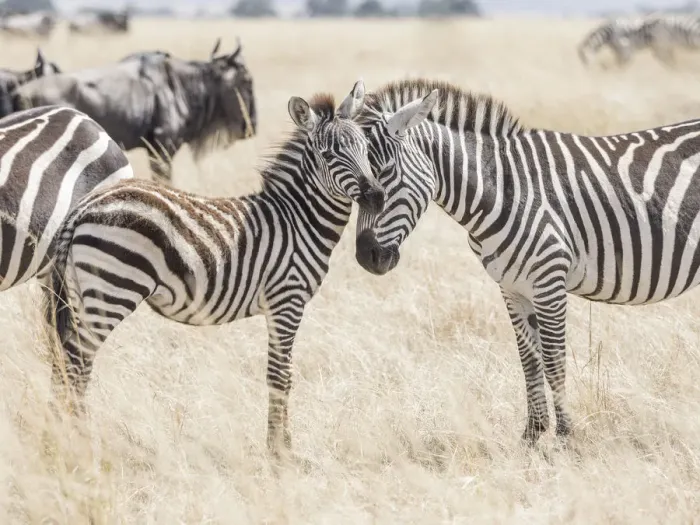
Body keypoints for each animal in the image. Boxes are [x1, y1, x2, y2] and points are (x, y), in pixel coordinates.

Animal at [43, 80, 385, 457]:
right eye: (328, 155)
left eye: (366, 148)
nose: (377, 196)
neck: (298, 219)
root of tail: (84, 206)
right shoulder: (287, 301)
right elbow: (281, 376)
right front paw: (280, 453)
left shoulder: (278, 307)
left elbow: (279, 374)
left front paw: (280, 447)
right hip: (111, 289)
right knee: (77, 363)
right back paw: (80, 442)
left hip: (79, 292)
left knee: (65, 362)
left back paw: (64, 436)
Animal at [353, 78, 700, 445]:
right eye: (352, 182)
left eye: (386, 173)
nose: (366, 257)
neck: (503, 191)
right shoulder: (511, 287)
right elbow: (528, 359)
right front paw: (532, 436)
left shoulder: (549, 281)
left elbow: (553, 359)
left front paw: (564, 438)